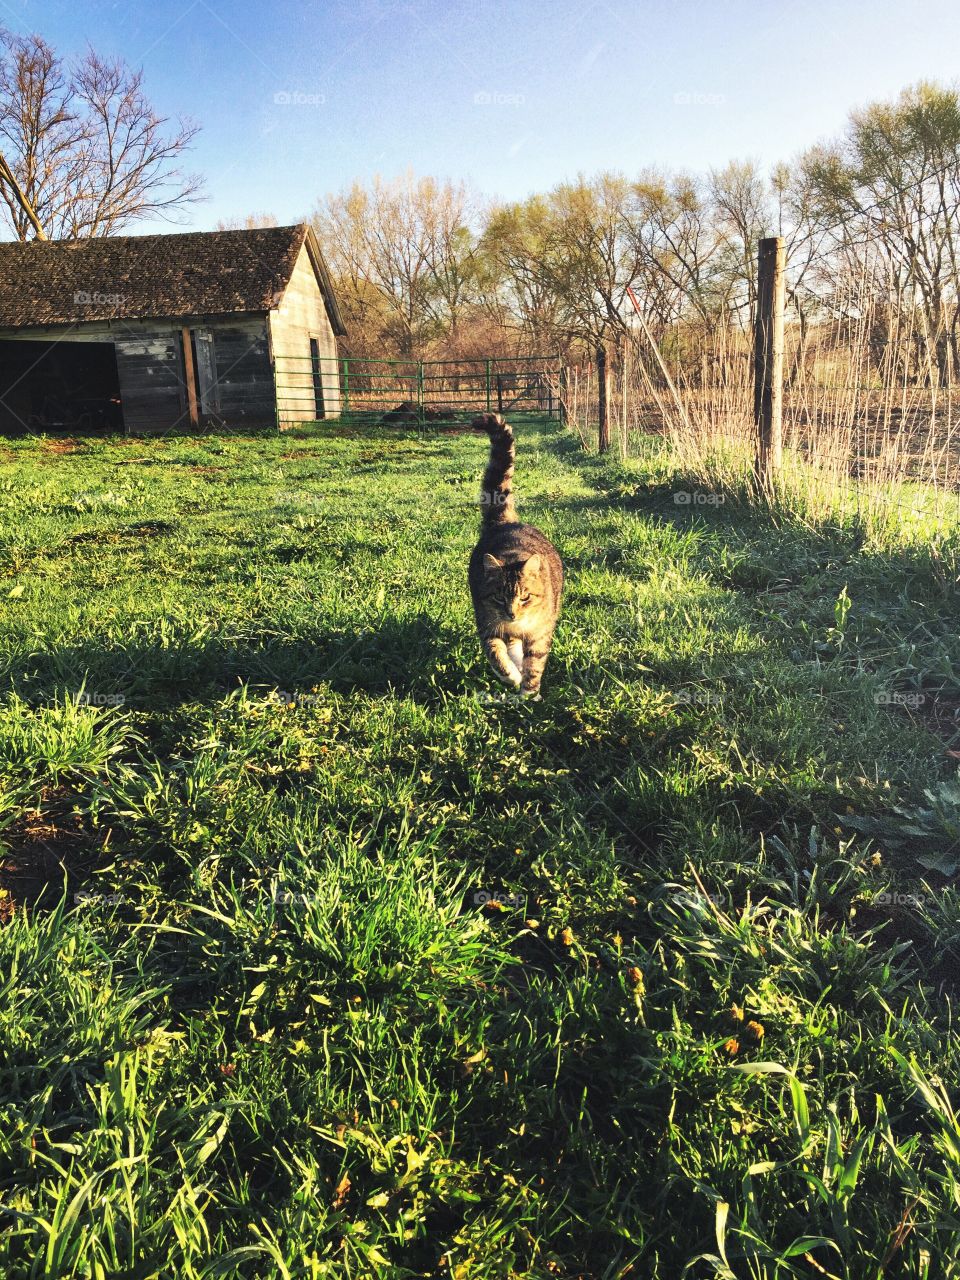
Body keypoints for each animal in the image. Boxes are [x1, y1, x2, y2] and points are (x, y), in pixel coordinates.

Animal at [468, 414, 563, 701]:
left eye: (525, 597)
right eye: (499, 597)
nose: (511, 614)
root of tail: (506, 522)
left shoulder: (540, 632)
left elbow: (535, 662)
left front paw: (529, 694)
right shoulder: (488, 625)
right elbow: (496, 655)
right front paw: (511, 675)